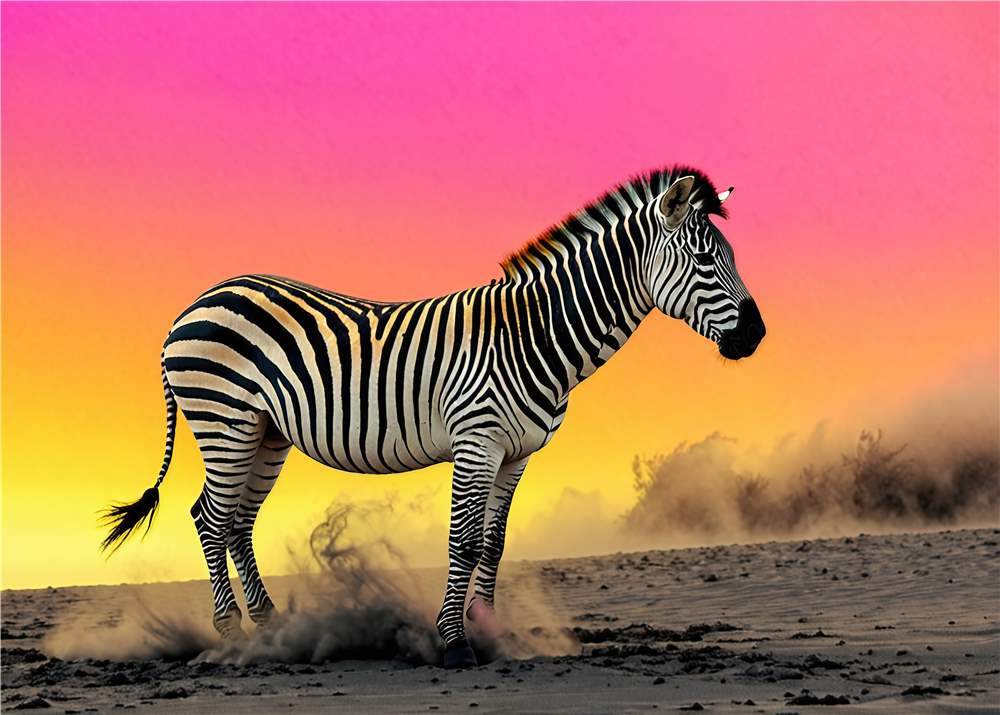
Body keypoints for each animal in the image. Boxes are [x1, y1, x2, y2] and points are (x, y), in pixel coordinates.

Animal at [100, 166, 765, 668]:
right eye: (704, 259)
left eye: (729, 256)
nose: (756, 336)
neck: (536, 335)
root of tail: (194, 305)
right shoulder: (477, 439)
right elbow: (463, 541)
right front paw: (453, 643)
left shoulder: (517, 454)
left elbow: (494, 543)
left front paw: (492, 633)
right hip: (225, 420)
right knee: (209, 519)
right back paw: (235, 635)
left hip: (266, 435)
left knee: (237, 522)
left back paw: (269, 628)